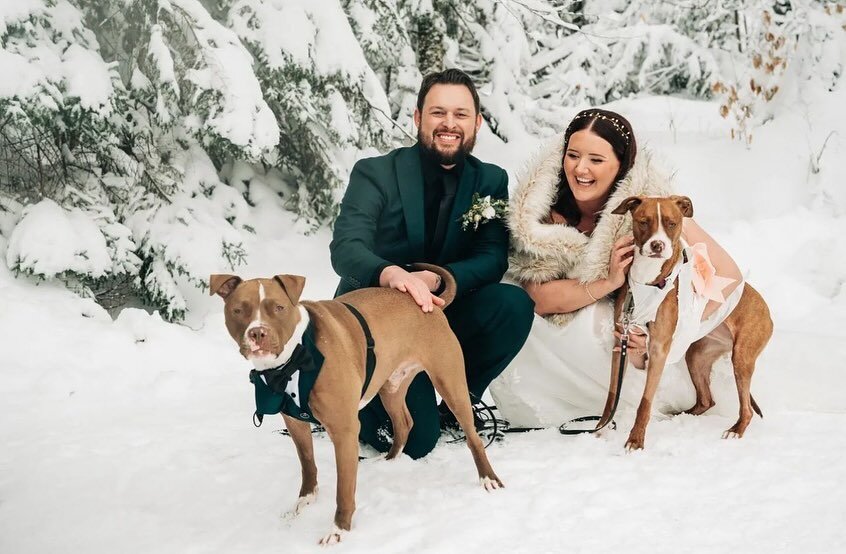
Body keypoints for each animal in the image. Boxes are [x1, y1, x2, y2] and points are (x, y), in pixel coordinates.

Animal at [210, 264, 504, 544]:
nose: (257, 333)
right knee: (404, 423)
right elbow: (307, 464)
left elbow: (344, 489)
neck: (292, 361)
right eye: (239, 310)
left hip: (450, 382)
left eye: (279, 308)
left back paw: (488, 478)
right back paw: (389, 460)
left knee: (472, 438)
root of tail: (428, 301)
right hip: (391, 385)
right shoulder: (295, 424)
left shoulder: (344, 430)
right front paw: (304, 501)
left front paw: (339, 530)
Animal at [604, 194, 776, 448]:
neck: (648, 280)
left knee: (746, 409)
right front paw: (599, 430)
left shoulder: (658, 349)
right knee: (706, 400)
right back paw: (679, 416)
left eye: (672, 223)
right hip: (697, 357)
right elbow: (611, 395)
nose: (657, 245)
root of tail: (766, 308)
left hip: (742, 359)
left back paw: (735, 430)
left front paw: (635, 441)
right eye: (643, 222)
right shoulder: (621, 342)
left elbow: (645, 402)